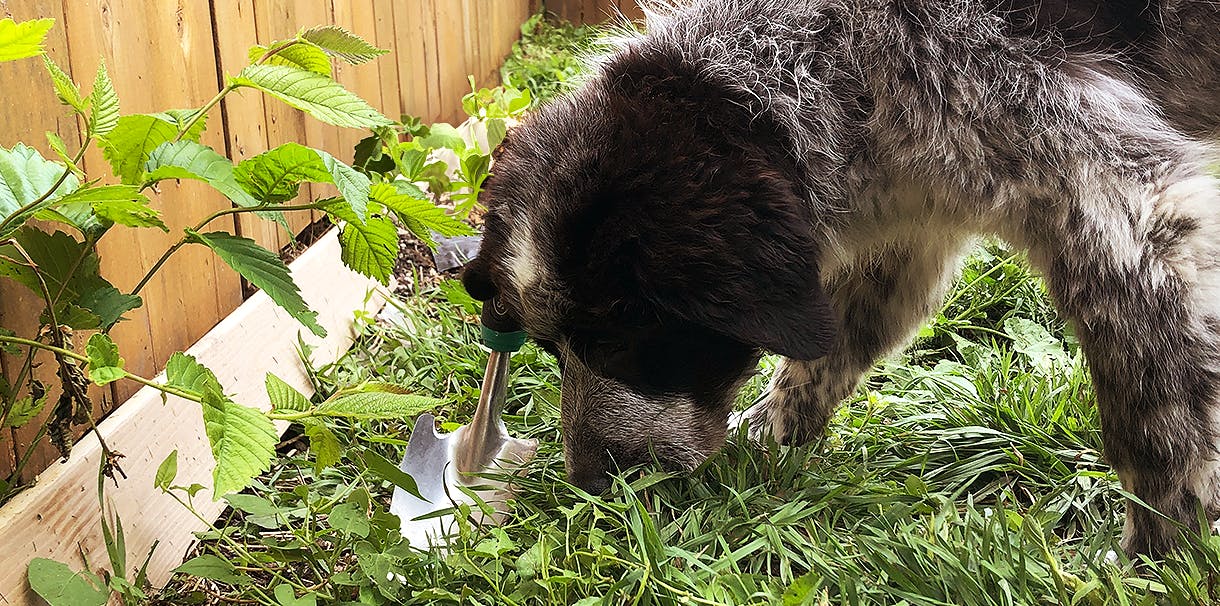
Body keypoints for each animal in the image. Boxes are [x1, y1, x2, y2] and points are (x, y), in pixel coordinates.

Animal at [461, 0, 1220, 556]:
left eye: (620, 338)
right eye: (550, 348)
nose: (589, 485)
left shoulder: (1117, 201)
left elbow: (1160, 406)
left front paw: (1161, 548)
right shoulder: (914, 211)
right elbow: (827, 353)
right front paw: (770, 436)